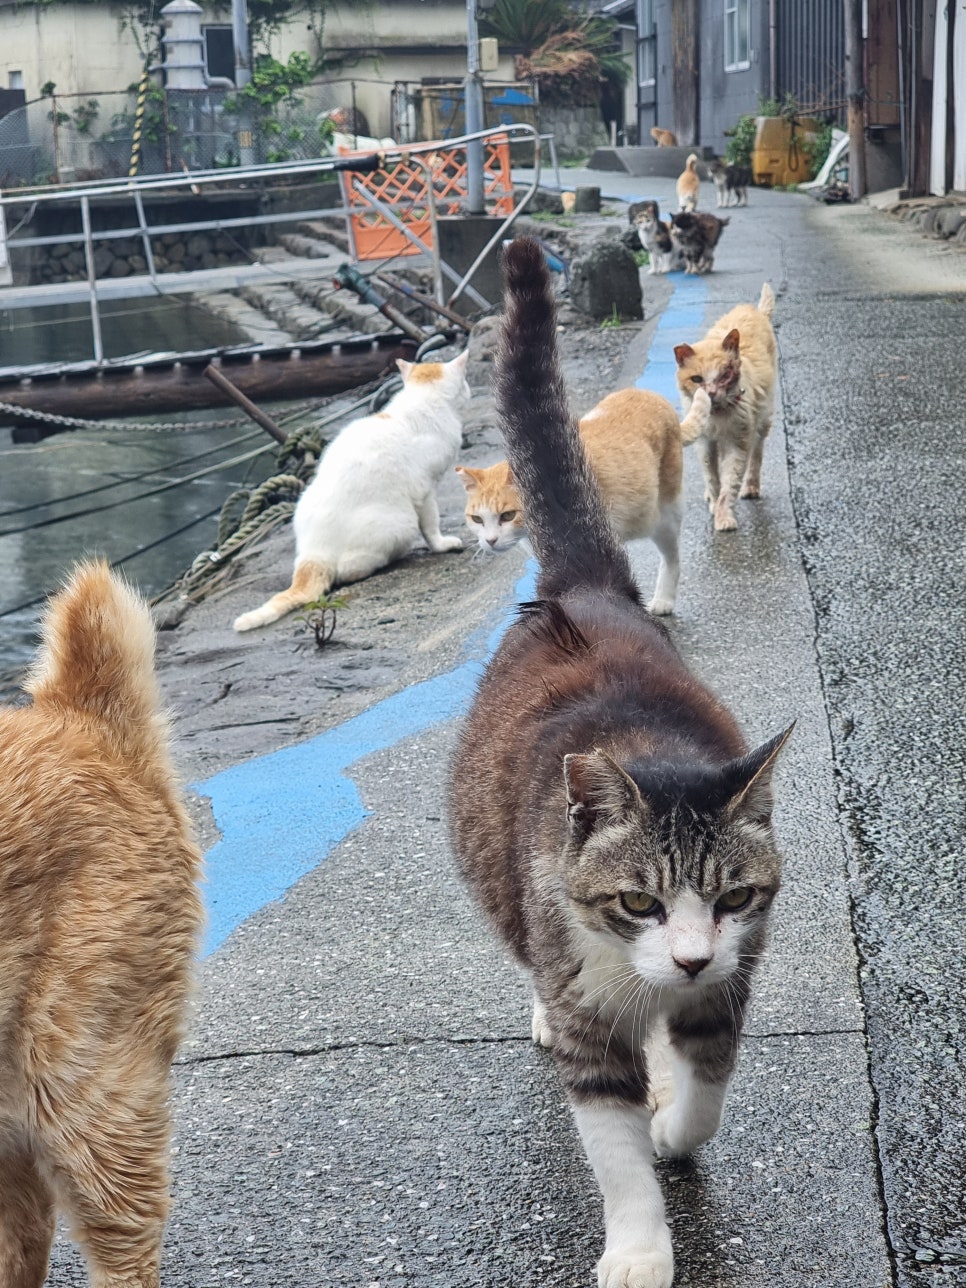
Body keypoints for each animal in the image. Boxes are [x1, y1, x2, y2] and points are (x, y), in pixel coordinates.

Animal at [238, 352, 473, 633]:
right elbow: (431, 526)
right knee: (348, 571)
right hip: (400, 523)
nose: (470, 392)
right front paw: (442, 545)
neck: (424, 397)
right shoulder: (424, 490)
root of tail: (313, 553)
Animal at [453, 381, 710, 613]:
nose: (490, 540)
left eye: (507, 515)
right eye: (477, 519)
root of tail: (653, 397)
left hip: (664, 516)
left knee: (672, 556)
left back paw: (664, 599)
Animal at [674, 284, 783, 530]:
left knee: (756, 455)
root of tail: (756, 311)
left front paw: (724, 517)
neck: (716, 416)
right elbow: (712, 477)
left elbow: (730, 481)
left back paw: (751, 486)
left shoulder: (738, 441)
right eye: (697, 379)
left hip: (762, 421)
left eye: (724, 375)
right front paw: (715, 503)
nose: (711, 393)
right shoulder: (705, 443)